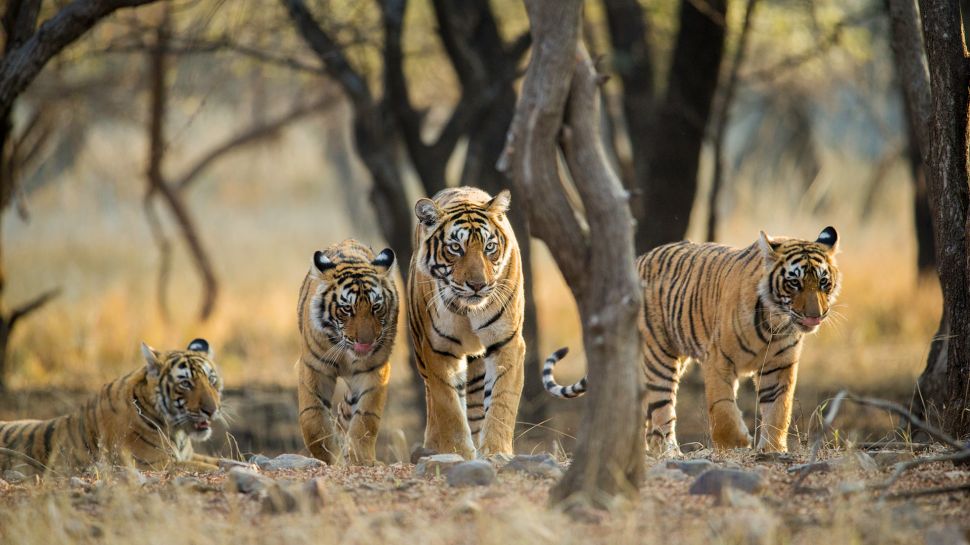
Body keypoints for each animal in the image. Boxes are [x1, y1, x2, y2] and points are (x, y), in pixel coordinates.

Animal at [0, 339, 223, 474]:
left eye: (211, 380)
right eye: (185, 384)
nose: (212, 411)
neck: (178, 433)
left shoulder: (188, 455)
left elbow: (222, 461)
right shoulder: (154, 463)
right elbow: (211, 468)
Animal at [297, 239, 398, 465]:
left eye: (376, 307)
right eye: (347, 309)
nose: (366, 342)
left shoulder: (374, 370)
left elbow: (365, 418)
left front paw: (361, 459)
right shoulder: (314, 367)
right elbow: (312, 418)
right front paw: (327, 458)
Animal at [408, 187, 525, 459]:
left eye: (489, 247)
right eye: (455, 248)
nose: (478, 285)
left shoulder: (507, 342)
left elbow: (502, 401)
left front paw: (496, 451)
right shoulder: (438, 349)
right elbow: (448, 407)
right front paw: (457, 452)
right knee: (433, 400)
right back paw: (432, 446)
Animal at [543, 227, 842, 454]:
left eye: (823, 283)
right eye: (794, 283)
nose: (815, 315)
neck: (775, 323)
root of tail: (638, 260)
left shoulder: (779, 366)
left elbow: (779, 409)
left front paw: (772, 449)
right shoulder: (718, 359)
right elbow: (722, 407)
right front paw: (736, 443)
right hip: (659, 356)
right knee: (661, 410)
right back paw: (669, 452)